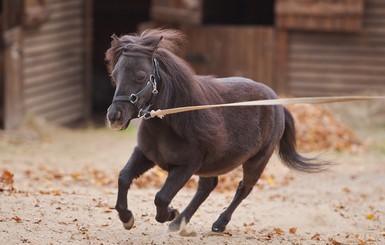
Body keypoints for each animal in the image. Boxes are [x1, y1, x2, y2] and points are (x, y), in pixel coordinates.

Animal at [104, 28, 324, 232]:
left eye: (140, 76)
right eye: (115, 74)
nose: (115, 116)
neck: (171, 121)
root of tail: (277, 103)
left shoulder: (186, 167)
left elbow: (162, 197)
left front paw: (170, 213)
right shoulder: (145, 154)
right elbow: (123, 177)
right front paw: (127, 218)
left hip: (257, 160)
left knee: (243, 188)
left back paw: (217, 223)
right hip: (214, 164)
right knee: (207, 188)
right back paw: (179, 223)